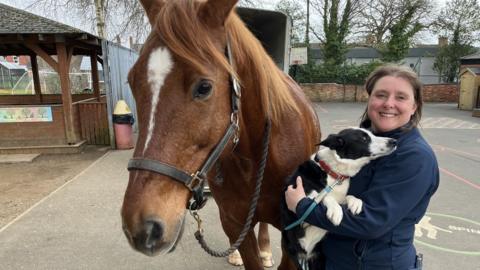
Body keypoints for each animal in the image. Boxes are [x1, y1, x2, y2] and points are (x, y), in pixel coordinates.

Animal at [280, 127, 396, 268]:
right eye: (364, 138)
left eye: (373, 134)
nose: (394, 141)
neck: (334, 173)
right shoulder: (299, 202)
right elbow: (324, 196)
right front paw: (335, 211)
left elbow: (348, 196)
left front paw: (355, 202)